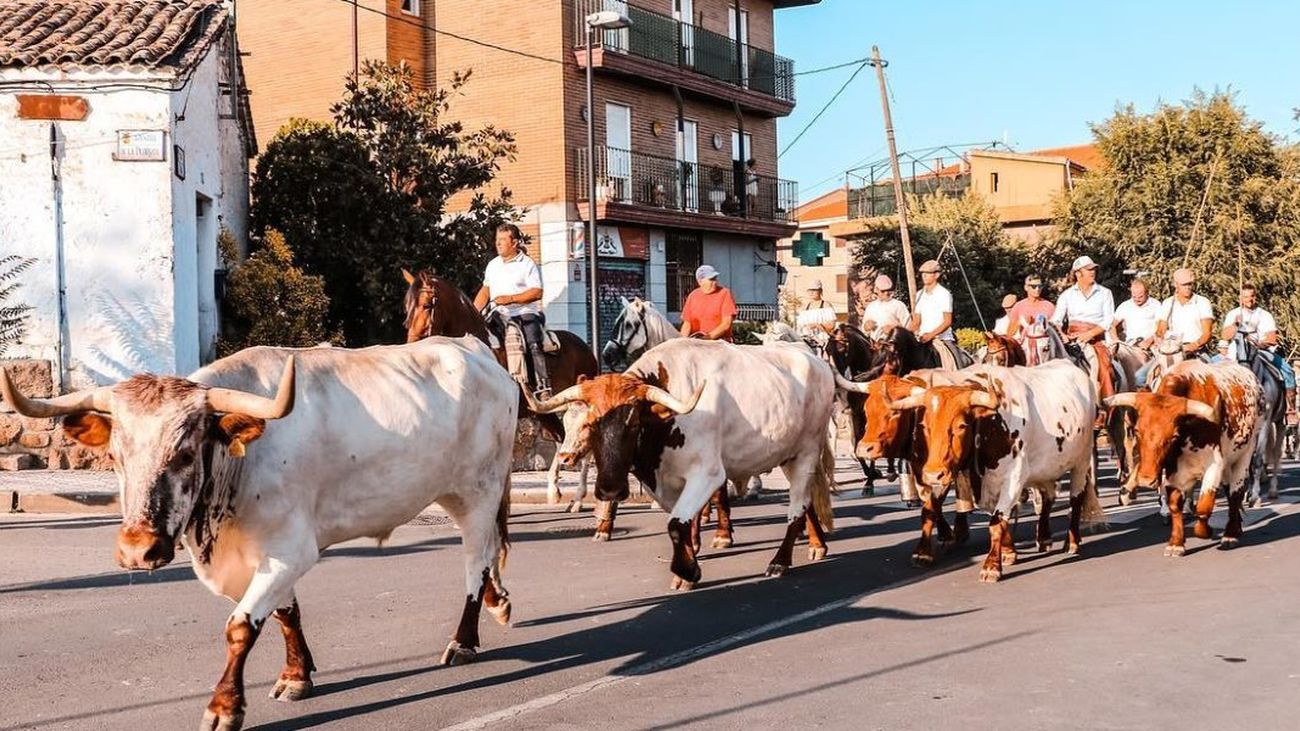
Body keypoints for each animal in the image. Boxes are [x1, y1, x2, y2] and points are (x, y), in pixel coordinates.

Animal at [400, 267, 598, 499]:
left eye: (427, 305)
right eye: (407, 307)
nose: (411, 343)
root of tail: (586, 348)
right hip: (543, 412)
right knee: (562, 436)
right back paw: (553, 488)